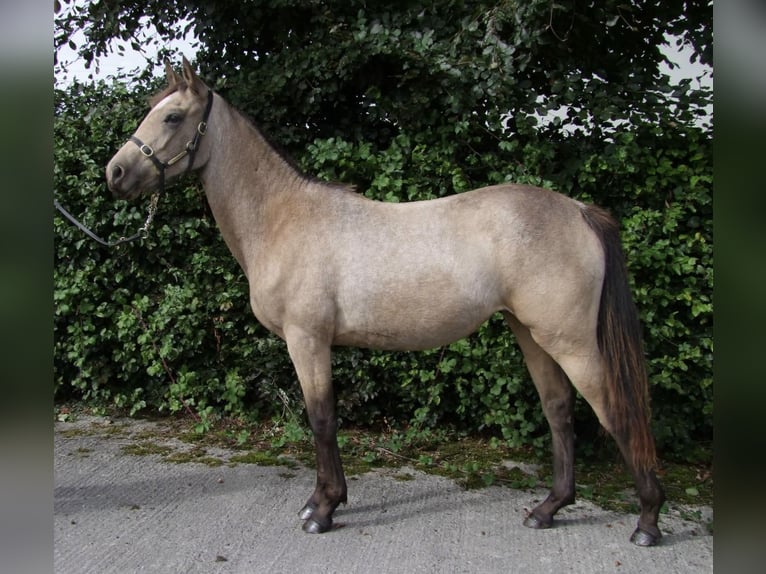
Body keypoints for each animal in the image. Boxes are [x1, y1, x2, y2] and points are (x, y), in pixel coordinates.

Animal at [106, 57, 665, 546]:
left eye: (173, 116)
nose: (115, 173)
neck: (284, 217)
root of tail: (579, 210)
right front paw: (321, 502)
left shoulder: (308, 340)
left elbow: (322, 419)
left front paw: (324, 509)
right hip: (531, 334)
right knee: (558, 411)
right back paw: (548, 509)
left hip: (571, 342)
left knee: (617, 410)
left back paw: (648, 522)